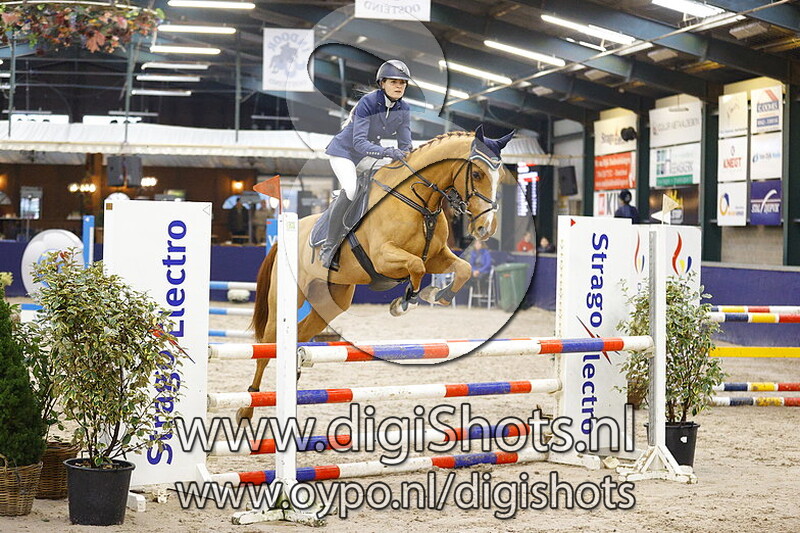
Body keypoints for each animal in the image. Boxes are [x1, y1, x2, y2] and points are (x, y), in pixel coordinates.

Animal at [240, 127, 514, 420]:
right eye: (477, 174)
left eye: (499, 177)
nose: (486, 228)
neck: (419, 202)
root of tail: (283, 237)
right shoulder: (384, 257)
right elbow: (415, 266)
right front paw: (405, 302)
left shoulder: (438, 257)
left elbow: (462, 269)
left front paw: (436, 295)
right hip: (285, 301)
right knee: (266, 347)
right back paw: (247, 407)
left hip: (330, 301)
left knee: (300, 334)